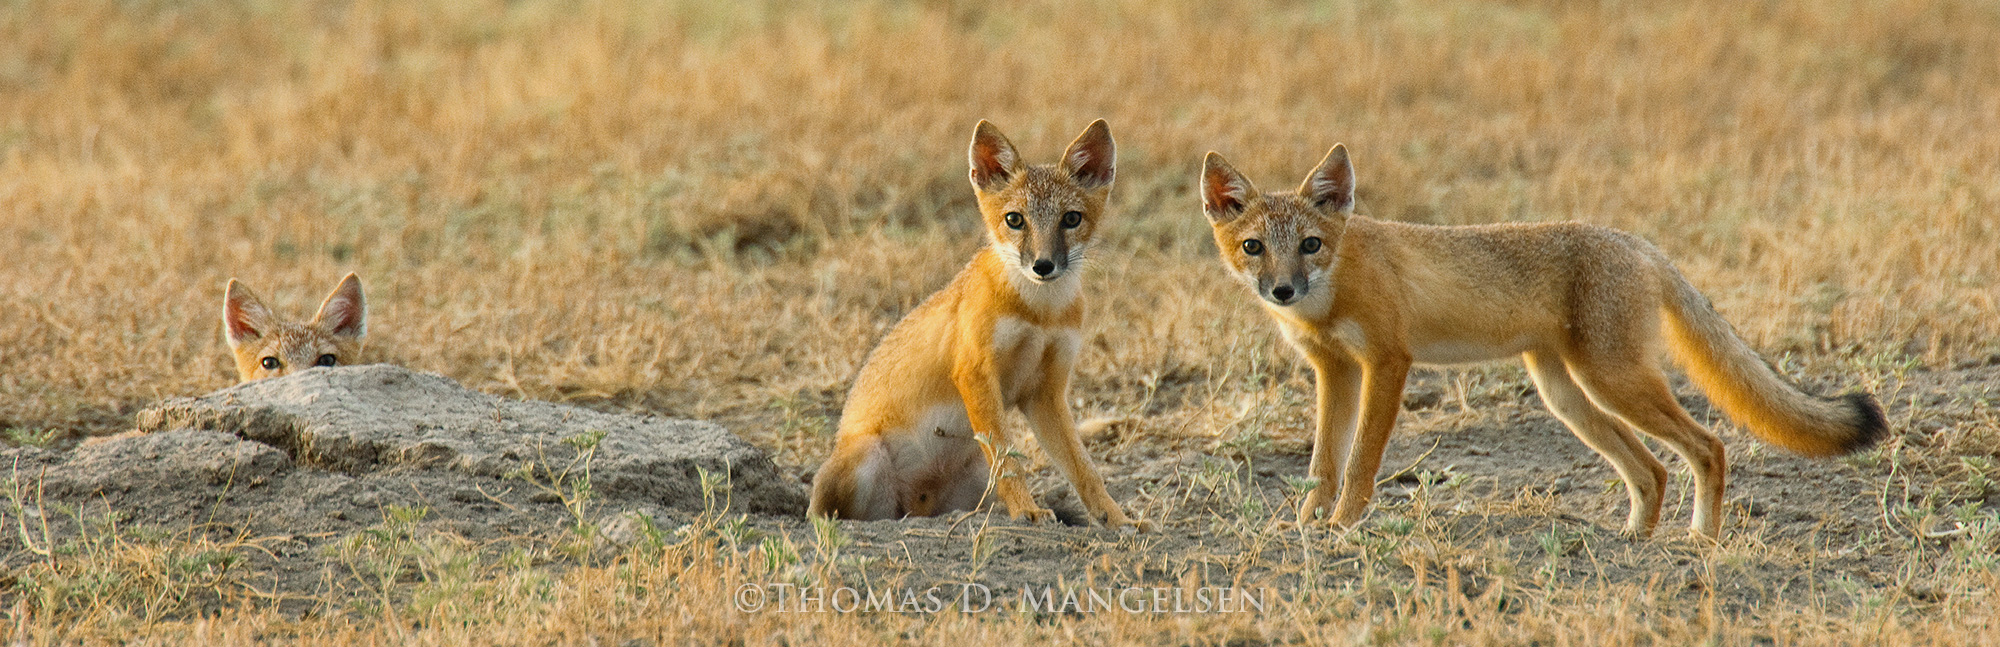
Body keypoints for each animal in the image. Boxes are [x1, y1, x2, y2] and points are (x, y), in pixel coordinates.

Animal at [807, 120, 1149, 532]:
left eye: (1071, 219)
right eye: (1014, 219)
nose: (1043, 265)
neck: (1039, 312)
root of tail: (916, 508)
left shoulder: (1046, 392)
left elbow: (1084, 470)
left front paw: (1117, 518)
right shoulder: (974, 373)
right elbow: (1008, 463)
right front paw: (1028, 511)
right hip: (867, 457)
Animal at [1197, 145, 1886, 539]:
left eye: (1310, 244)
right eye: (1253, 247)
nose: (1283, 290)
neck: (1333, 293)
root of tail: (1636, 242)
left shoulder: (1388, 363)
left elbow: (1361, 462)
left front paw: (1341, 527)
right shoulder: (1333, 370)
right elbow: (1323, 464)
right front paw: (1307, 525)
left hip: (1613, 382)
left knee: (1708, 446)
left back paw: (1701, 541)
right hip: (1570, 395)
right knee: (1654, 469)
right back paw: (1634, 540)